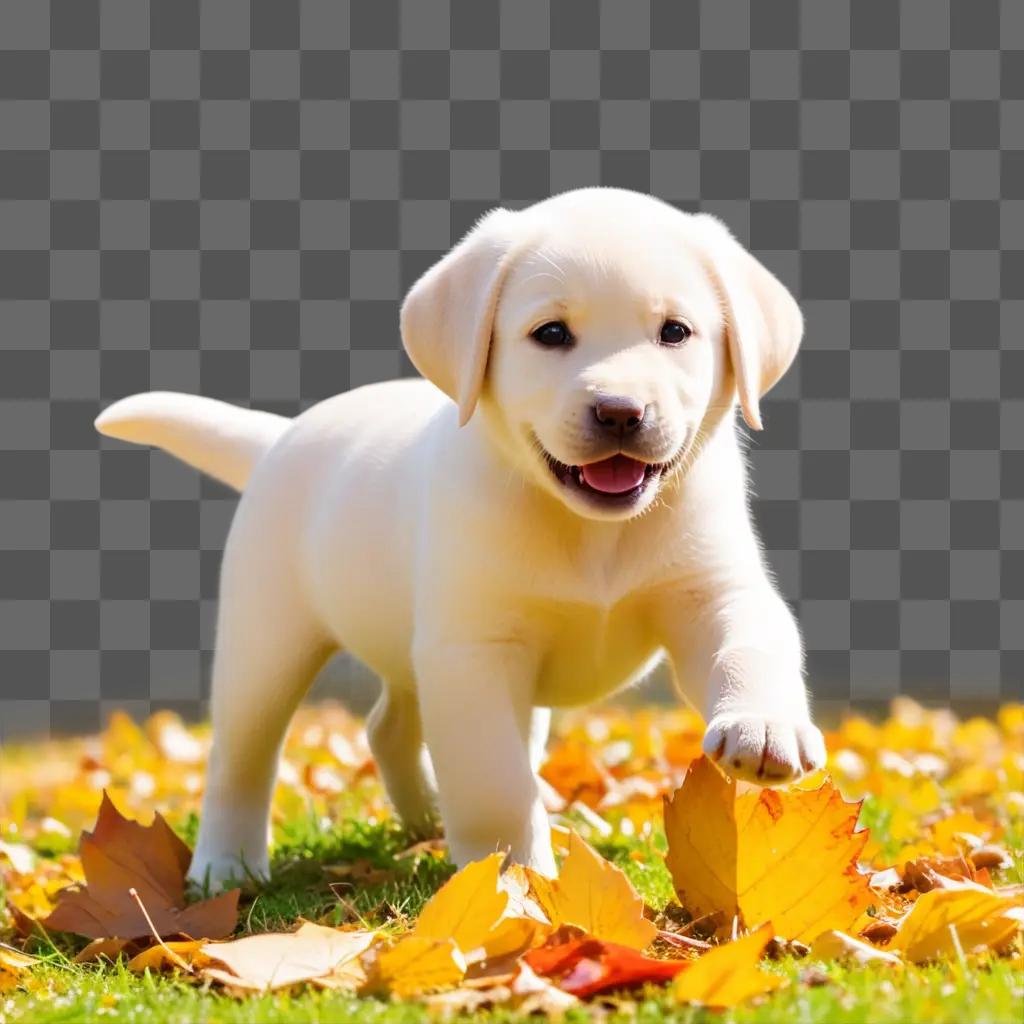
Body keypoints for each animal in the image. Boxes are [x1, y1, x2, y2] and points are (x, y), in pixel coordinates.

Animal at [96, 188, 827, 884]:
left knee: (389, 726)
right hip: (267, 642)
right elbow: (494, 783)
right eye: (551, 333)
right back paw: (227, 865)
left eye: (675, 331)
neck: (592, 532)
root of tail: (279, 437)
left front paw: (764, 727)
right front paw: (514, 878)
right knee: (243, 755)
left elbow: (749, 647)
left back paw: (425, 816)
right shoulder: (473, 653)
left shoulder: (713, 594)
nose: (620, 412)